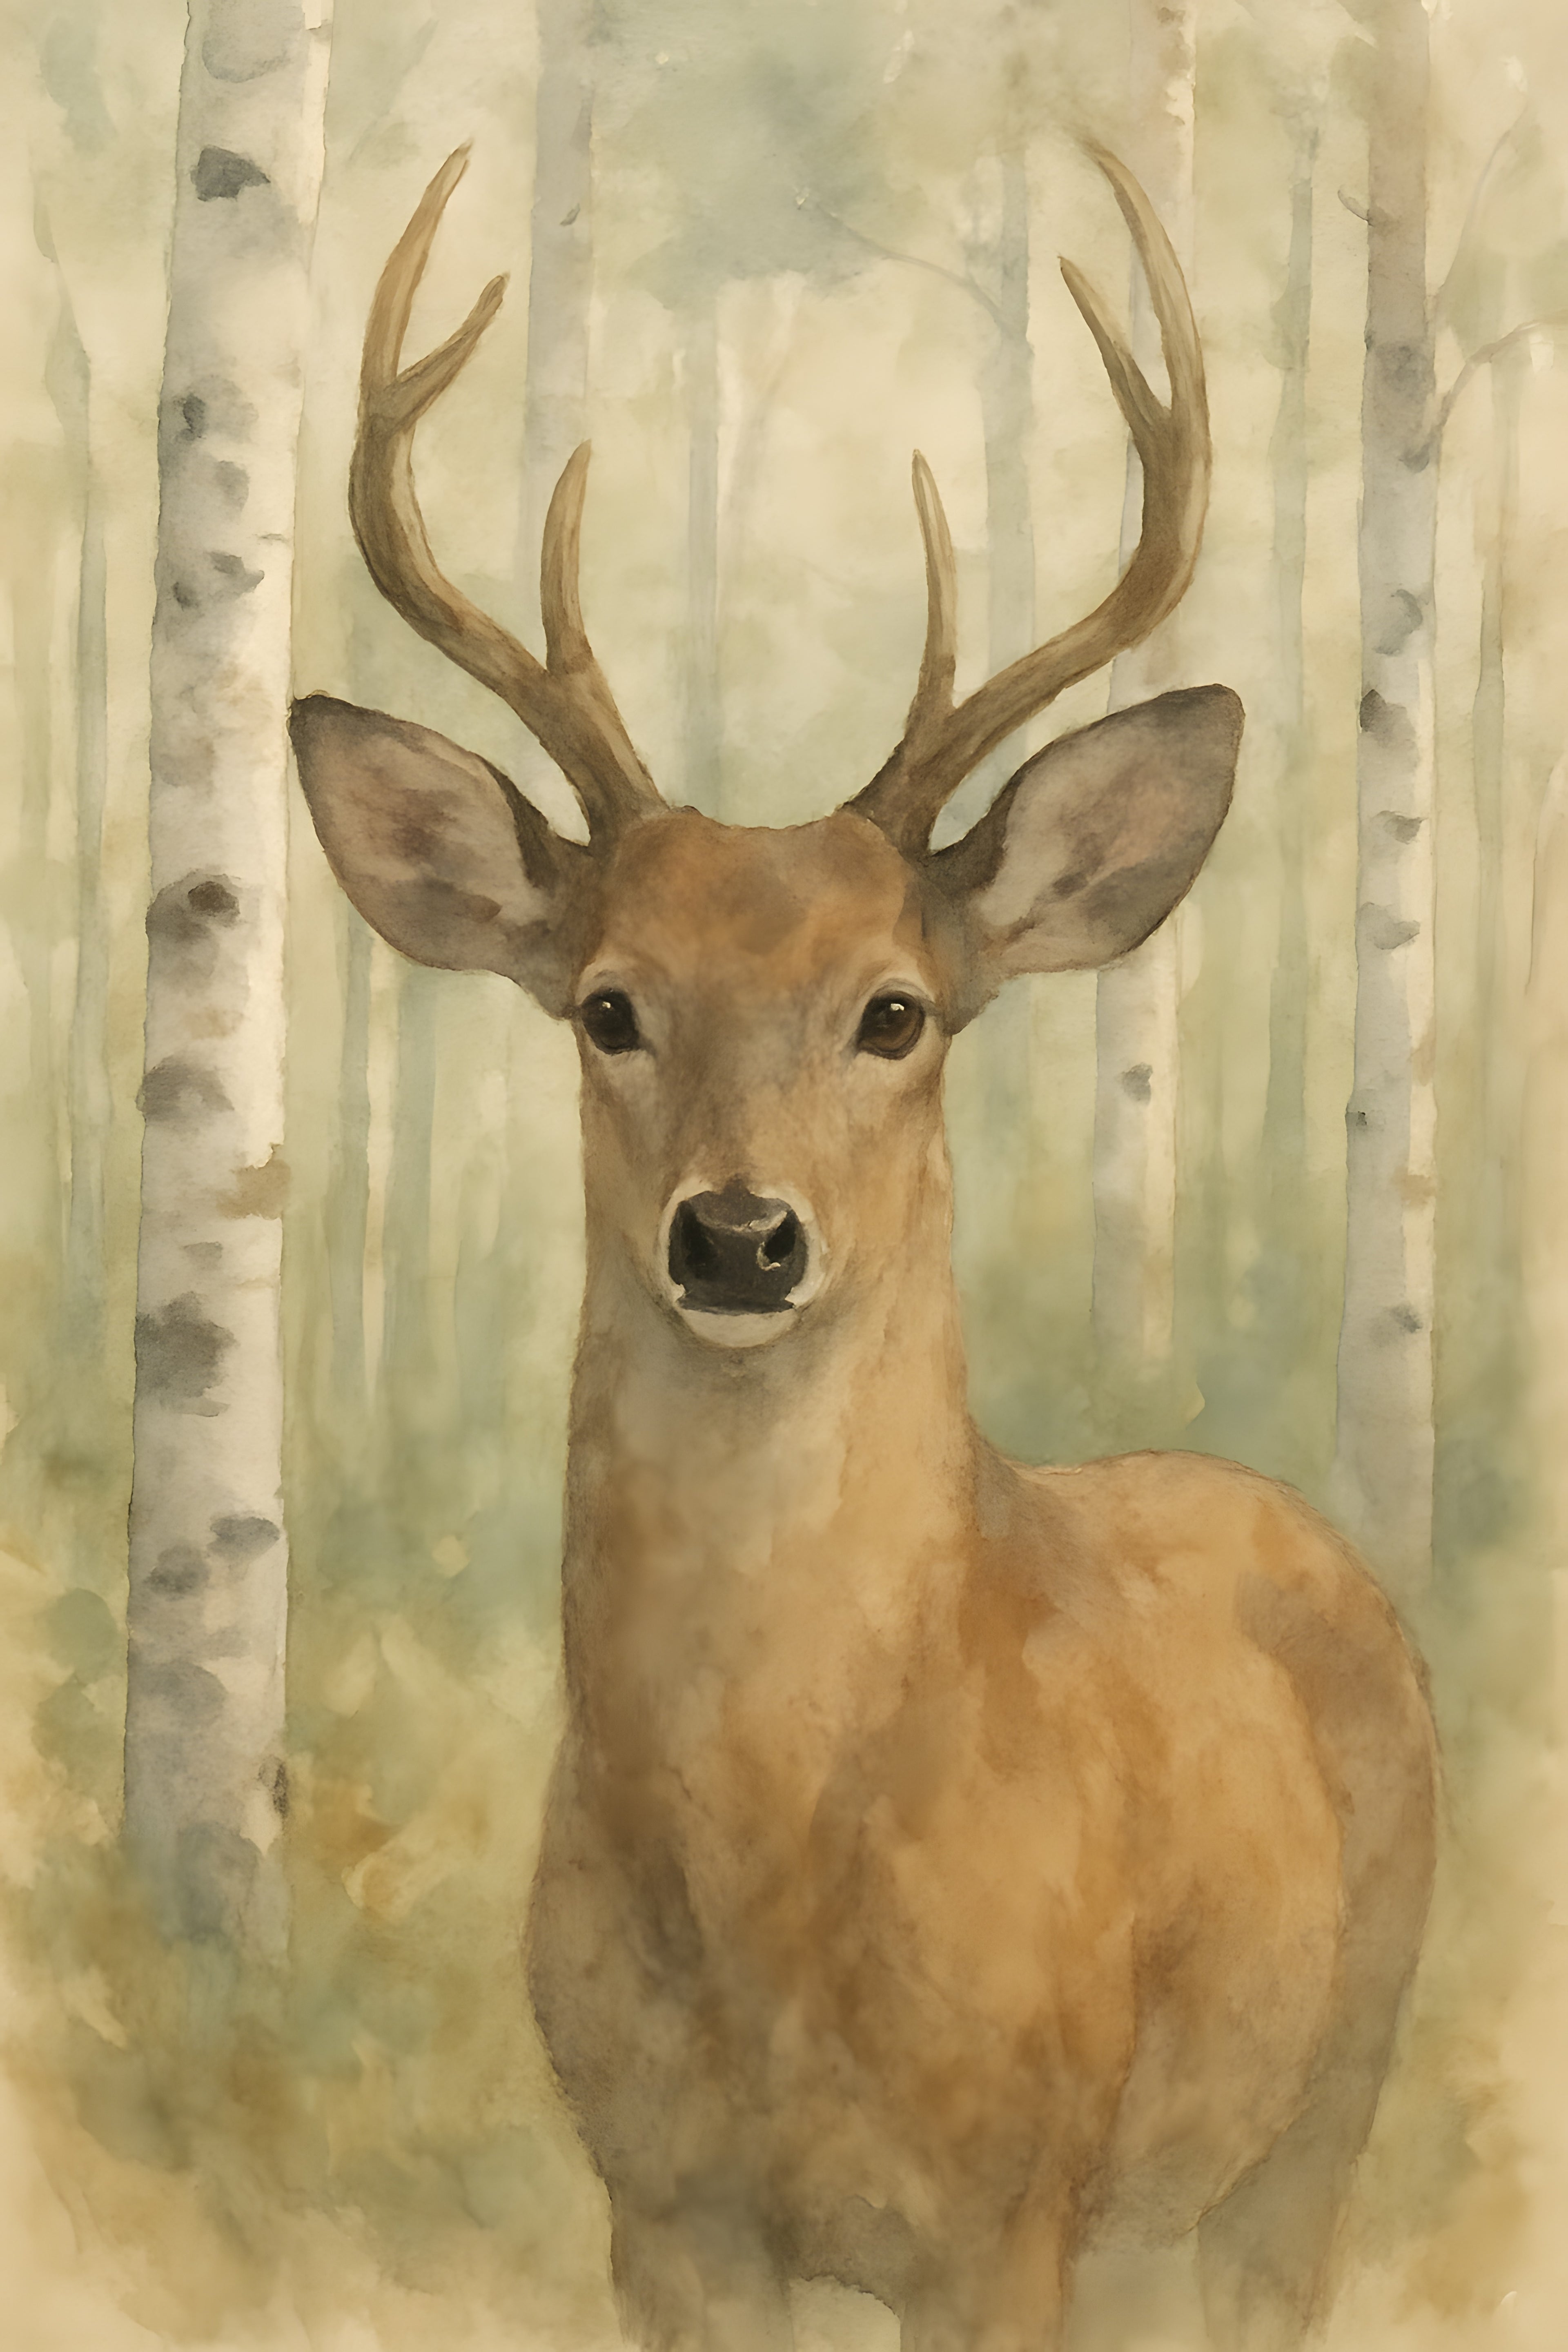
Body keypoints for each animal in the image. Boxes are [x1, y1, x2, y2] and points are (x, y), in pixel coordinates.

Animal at [291, 144, 1437, 2352]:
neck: (769, 1908)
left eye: (893, 1010)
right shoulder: (661, 2210)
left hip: (1317, 2114)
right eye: (610, 1008)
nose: (739, 1235)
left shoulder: (1013, 2209)